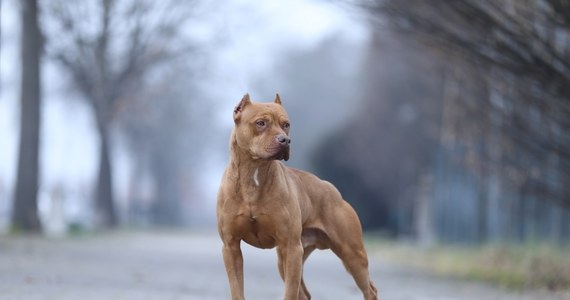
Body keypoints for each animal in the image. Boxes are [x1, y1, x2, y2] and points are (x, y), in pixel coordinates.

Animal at [215, 94, 374, 300]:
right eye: (261, 123)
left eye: (286, 124)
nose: (285, 140)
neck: (254, 174)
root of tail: (332, 190)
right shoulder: (231, 246)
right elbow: (237, 289)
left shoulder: (291, 247)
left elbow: (290, 292)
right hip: (289, 256)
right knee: (304, 294)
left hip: (351, 254)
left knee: (370, 289)